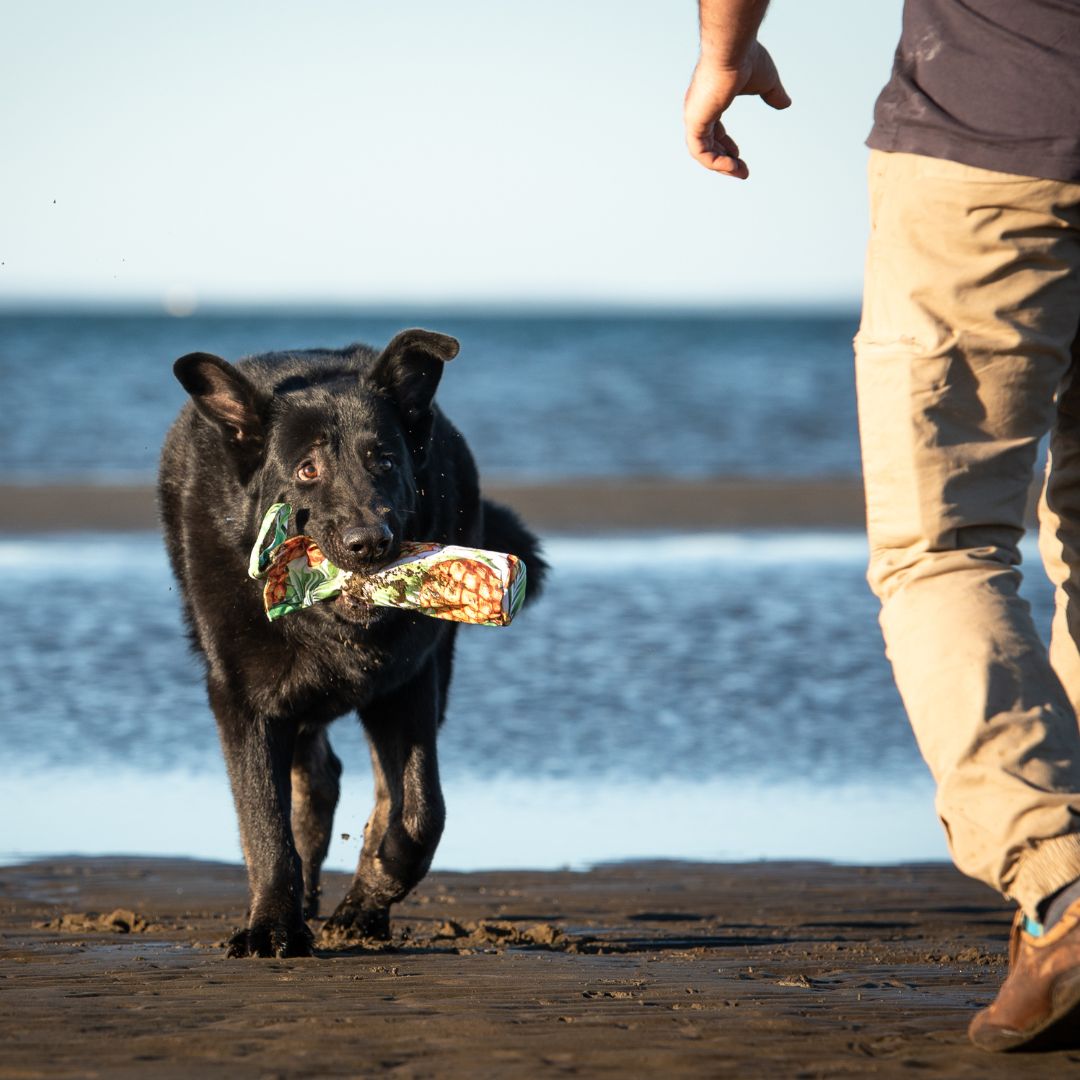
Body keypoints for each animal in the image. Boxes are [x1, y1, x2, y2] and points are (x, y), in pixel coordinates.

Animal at [157, 326, 548, 954]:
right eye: (307, 470)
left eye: (383, 461)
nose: (370, 543)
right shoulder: (246, 701)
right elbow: (265, 823)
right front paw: (272, 925)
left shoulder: (407, 687)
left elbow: (419, 817)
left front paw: (364, 905)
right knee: (314, 784)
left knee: (368, 792)